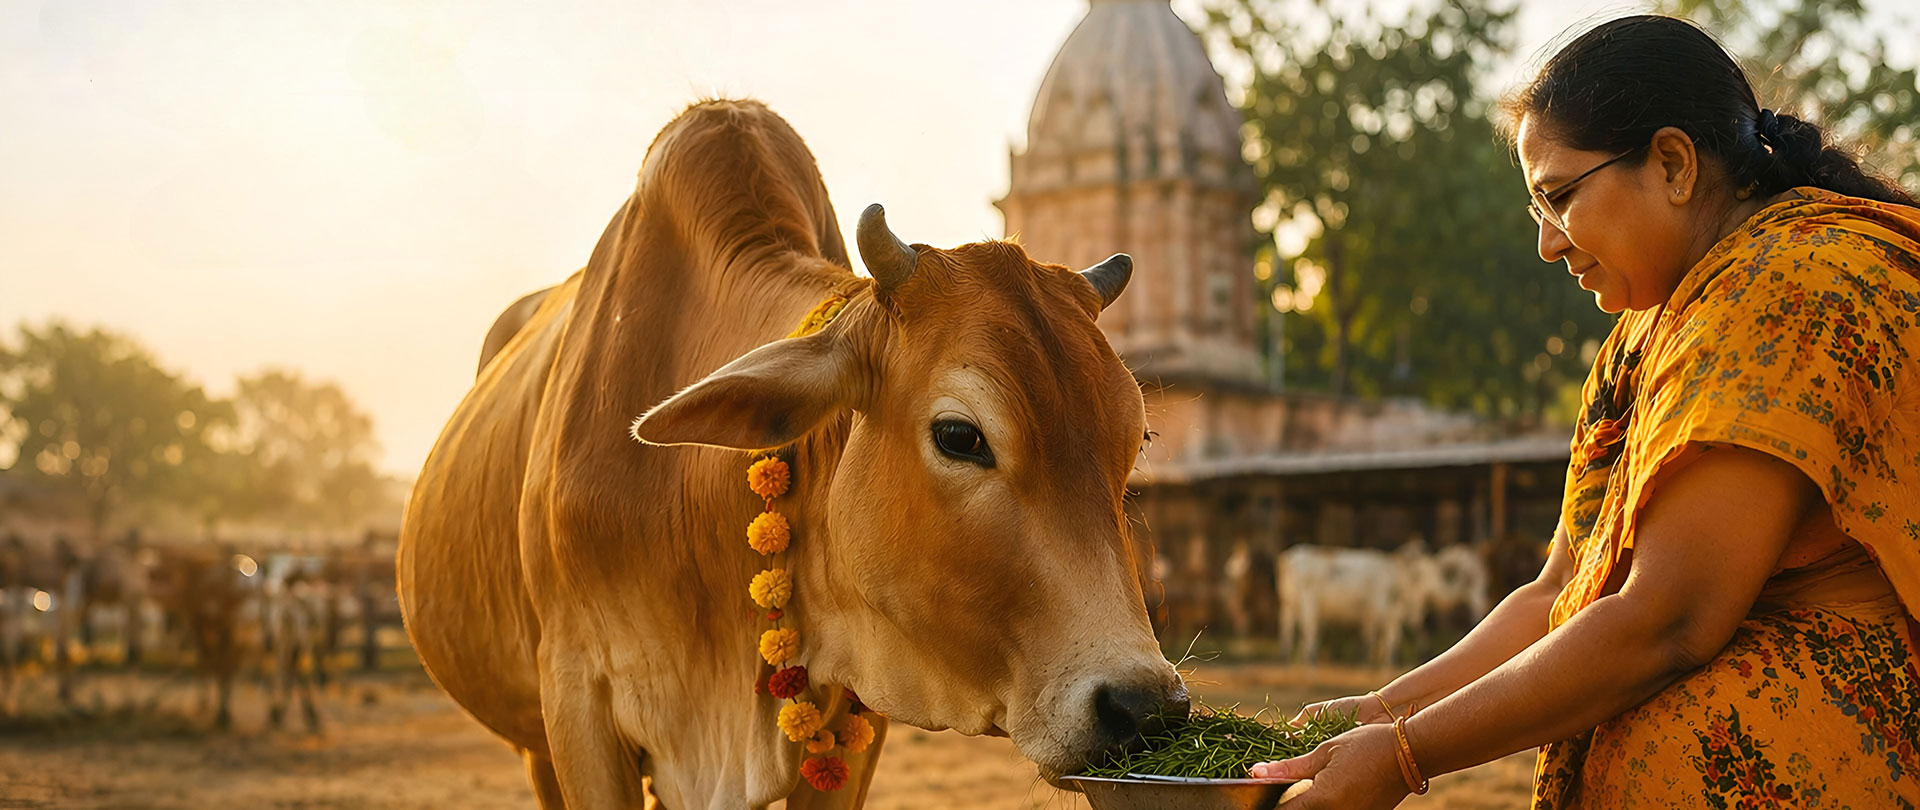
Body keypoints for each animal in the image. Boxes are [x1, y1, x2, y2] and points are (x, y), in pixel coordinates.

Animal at [398, 98, 1186, 809]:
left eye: (1137, 439)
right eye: (960, 436)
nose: (1142, 705)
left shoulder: (855, 718)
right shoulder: (576, 707)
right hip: (532, 738)